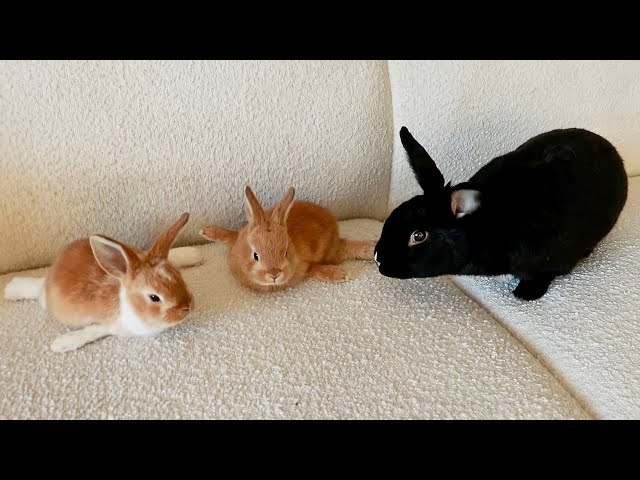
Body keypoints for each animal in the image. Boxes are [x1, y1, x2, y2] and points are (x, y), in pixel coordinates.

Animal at [3, 214, 202, 352]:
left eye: (179, 277)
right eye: (154, 297)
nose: (188, 308)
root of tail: (47, 280)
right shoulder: (111, 325)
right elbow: (92, 331)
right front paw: (61, 344)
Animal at [198, 187, 372, 292]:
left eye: (286, 253)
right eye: (255, 255)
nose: (274, 275)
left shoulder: (303, 265)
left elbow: (311, 268)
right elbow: (229, 235)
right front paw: (205, 231)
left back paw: (341, 272)